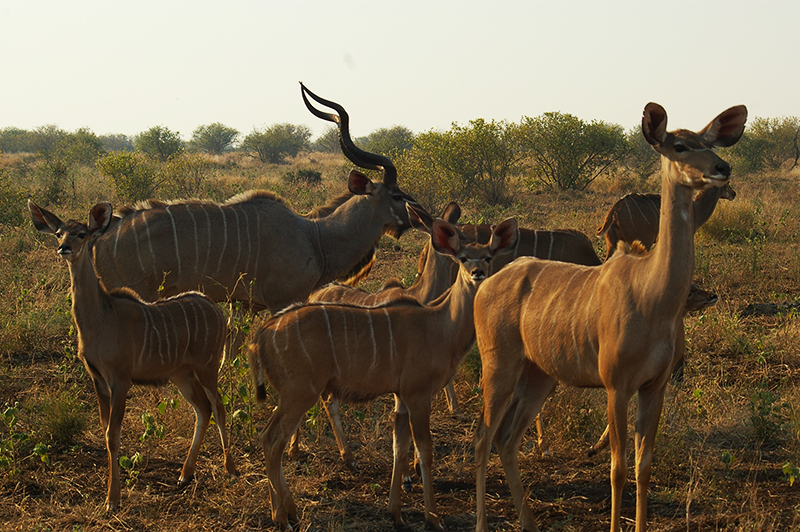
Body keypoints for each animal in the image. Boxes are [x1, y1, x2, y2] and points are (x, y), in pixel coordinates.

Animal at [29, 200, 236, 512]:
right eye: (58, 233)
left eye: (81, 234)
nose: (63, 248)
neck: (101, 319)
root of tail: (215, 310)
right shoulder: (98, 380)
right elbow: (105, 431)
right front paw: (110, 495)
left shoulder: (120, 379)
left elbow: (113, 435)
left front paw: (112, 500)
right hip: (181, 375)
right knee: (203, 409)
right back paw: (184, 475)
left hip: (207, 367)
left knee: (218, 406)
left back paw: (230, 470)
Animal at [248, 207, 520, 532]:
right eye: (463, 257)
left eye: (488, 257)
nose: (477, 273)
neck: (441, 326)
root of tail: (262, 335)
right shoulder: (418, 394)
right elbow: (424, 452)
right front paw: (433, 517)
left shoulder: (401, 397)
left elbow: (398, 447)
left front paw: (396, 513)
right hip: (300, 393)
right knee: (273, 440)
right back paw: (282, 516)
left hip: (295, 394)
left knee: (270, 437)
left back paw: (291, 511)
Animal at [476, 103, 744, 532]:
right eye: (680, 145)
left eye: (710, 142)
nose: (722, 169)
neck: (653, 295)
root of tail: (485, 284)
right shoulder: (616, 386)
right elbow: (617, 468)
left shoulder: (654, 387)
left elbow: (642, 466)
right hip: (499, 367)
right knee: (483, 439)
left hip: (539, 376)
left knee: (506, 439)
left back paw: (530, 522)